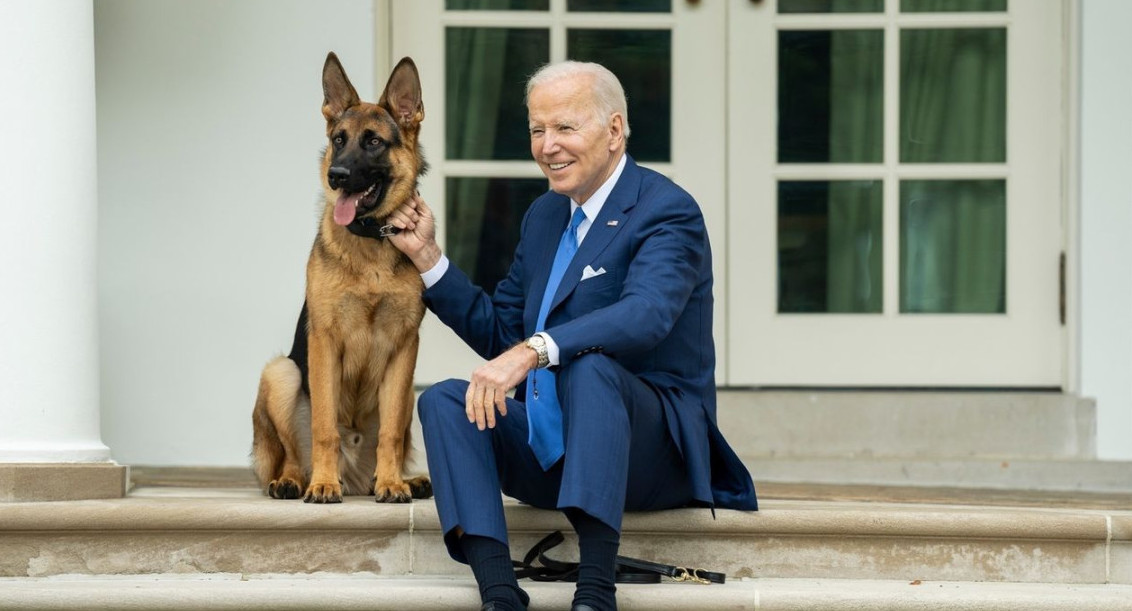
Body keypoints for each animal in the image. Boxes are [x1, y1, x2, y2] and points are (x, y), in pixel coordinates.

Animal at [252, 52, 432, 504]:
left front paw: (392, 484)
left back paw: (402, 479)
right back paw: (296, 481)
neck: (370, 241)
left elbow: (390, 433)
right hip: (281, 373)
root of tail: (355, 478)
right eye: (338, 139)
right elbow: (324, 427)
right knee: (293, 454)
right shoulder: (324, 342)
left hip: (410, 395)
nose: (336, 175)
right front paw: (322, 484)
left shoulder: (405, 348)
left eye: (373, 142)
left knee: (394, 440)